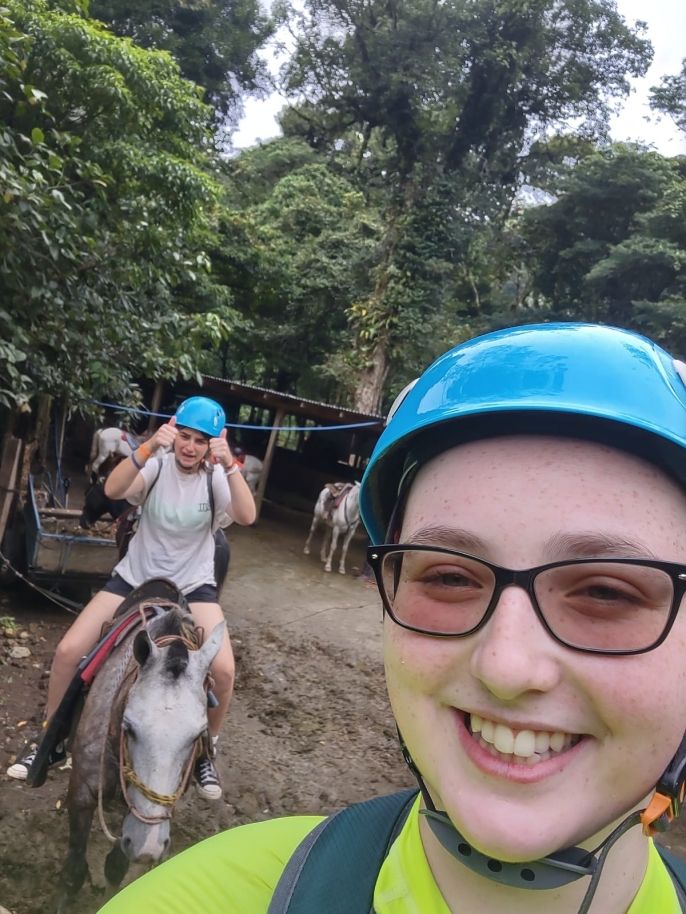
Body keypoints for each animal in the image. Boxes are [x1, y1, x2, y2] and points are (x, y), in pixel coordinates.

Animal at [57, 580, 223, 908]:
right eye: (129, 728)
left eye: (198, 735)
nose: (149, 848)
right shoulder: (82, 793)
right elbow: (74, 871)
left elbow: (116, 866)